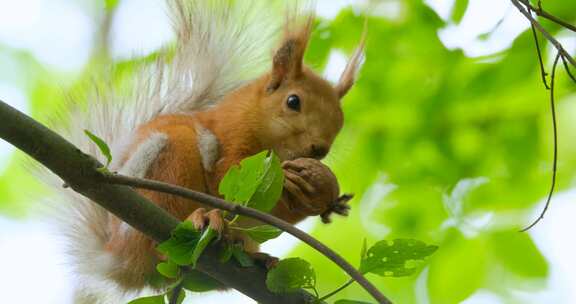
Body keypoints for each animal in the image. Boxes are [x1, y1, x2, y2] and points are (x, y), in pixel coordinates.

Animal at [47, 0, 366, 302]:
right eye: (293, 101)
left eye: (340, 119)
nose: (320, 149)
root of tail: (118, 256)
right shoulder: (230, 137)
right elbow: (227, 178)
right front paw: (292, 181)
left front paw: (323, 195)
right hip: (170, 162)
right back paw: (199, 219)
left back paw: (256, 256)